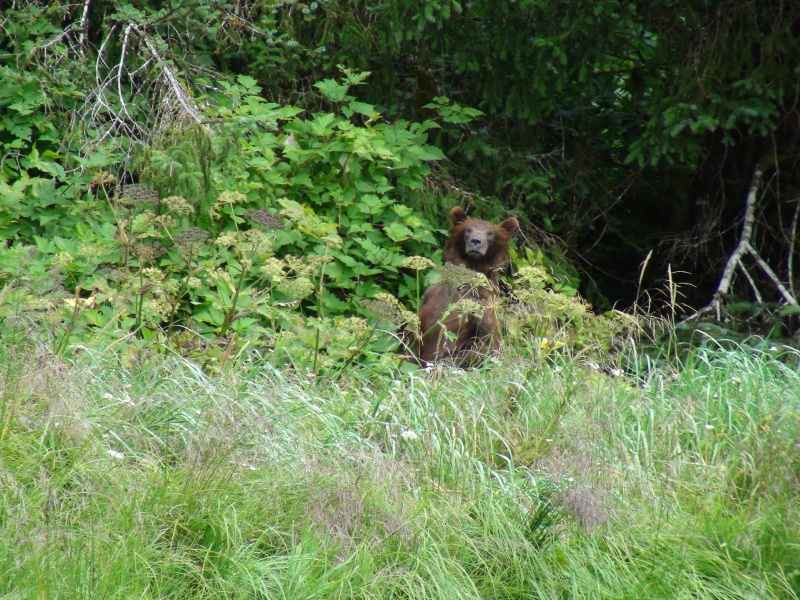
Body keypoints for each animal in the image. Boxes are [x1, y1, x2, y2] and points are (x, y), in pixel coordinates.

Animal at [413, 206, 518, 367]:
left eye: (490, 233)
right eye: (468, 229)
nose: (476, 241)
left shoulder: (484, 306)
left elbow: (490, 343)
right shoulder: (430, 298)